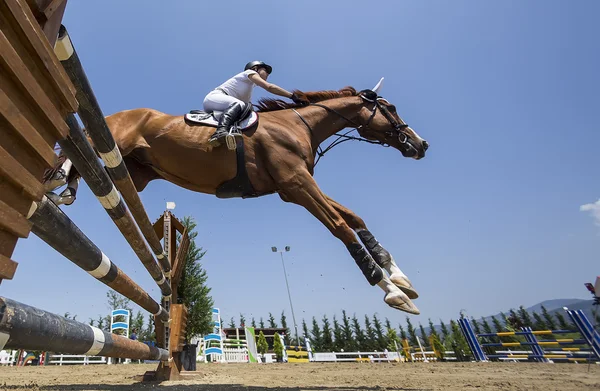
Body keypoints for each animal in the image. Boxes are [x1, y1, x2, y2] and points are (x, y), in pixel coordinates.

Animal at [45, 79, 432, 316]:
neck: (298, 125)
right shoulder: (297, 184)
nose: (421, 145)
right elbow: (340, 226)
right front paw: (392, 292)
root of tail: (115, 115)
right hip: (113, 141)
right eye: (390, 108)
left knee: (87, 168)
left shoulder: (294, 188)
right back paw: (57, 183)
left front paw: (401, 278)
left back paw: (65, 192)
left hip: (131, 172)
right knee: (76, 145)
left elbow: (354, 218)